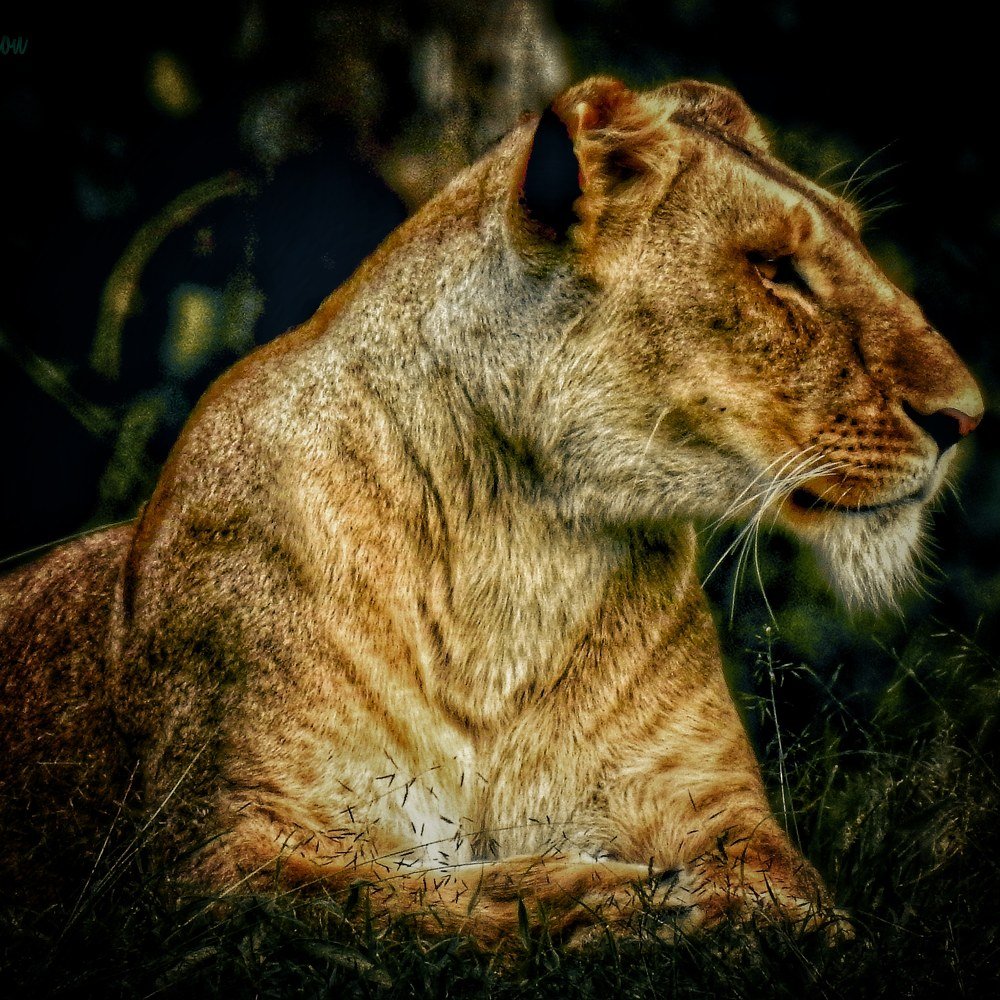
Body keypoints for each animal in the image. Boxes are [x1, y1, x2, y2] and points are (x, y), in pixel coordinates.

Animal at [0, 77, 982, 949]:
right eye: (777, 272)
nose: (966, 419)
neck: (518, 548)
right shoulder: (203, 863)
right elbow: (398, 901)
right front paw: (621, 905)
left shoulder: (715, 803)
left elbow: (791, 896)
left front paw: (742, 917)